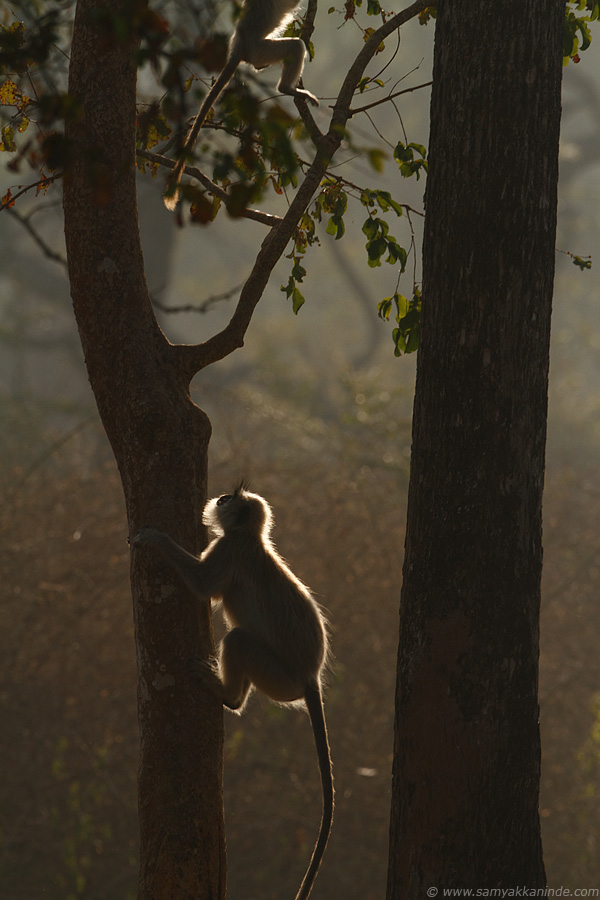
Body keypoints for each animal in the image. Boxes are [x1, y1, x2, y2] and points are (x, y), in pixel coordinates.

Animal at [132, 488, 336, 900]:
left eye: (230, 500)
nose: (219, 498)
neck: (250, 538)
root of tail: (310, 677)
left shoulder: (228, 549)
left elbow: (202, 587)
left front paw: (155, 539)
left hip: (277, 677)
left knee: (239, 640)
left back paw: (227, 696)